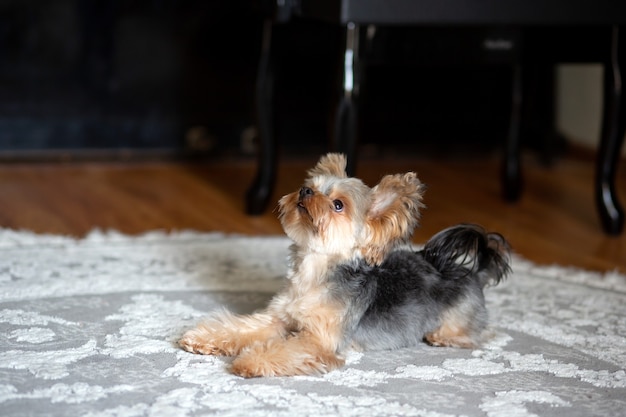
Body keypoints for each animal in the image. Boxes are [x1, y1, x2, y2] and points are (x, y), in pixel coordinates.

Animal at [178, 153, 510, 376]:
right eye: (309, 186)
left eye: (338, 205)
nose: (305, 192)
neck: (314, 270)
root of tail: (473, 272)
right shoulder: (278, 319)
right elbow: (242, 327)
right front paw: (204, 338)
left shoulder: (320, 342)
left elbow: (287, 349)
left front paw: (249, 361)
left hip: (458, 322)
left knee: (476, 336)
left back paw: (443, 337)